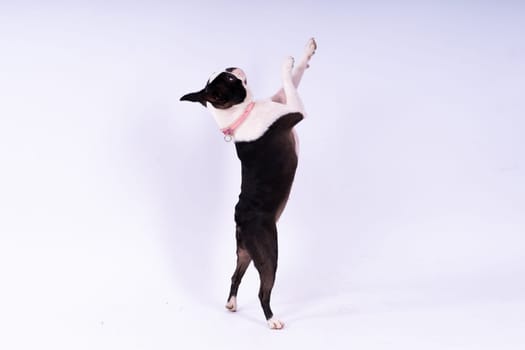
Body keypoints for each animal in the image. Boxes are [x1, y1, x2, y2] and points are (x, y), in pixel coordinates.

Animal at [180, 37, 316, 328]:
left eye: (224, 73)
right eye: (230, 79)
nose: (232, 66)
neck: (241, 114)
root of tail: (239, 217)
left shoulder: (280, 100)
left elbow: (294, 78)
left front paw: (306, 53)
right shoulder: (296, 110)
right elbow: (288, 79)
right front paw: (286, 61)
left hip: (244, 250)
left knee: (235, 274)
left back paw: (231, 303)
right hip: (268, 252)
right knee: (264, 290)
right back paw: (272, 319)